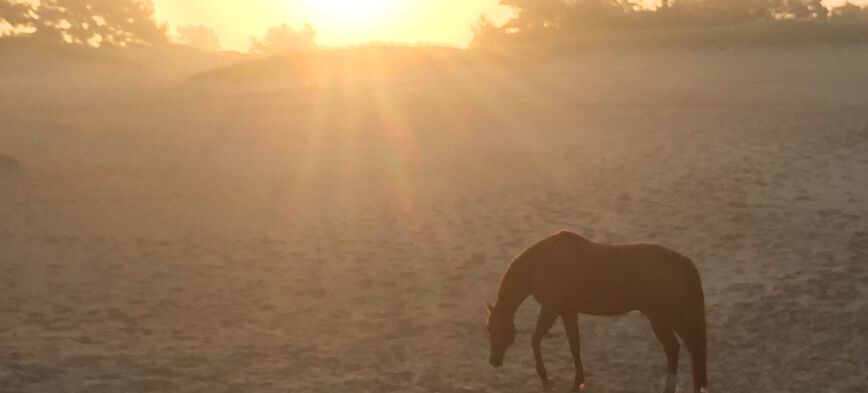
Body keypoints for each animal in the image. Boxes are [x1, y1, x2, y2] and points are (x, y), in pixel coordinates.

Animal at [484, 230, 708, 392]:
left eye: (491, 329)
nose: (493, 361)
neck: (540, 265)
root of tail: (683, 262)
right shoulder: (567, 311)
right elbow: (574, 344)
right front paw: (577, 382)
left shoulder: (551, 308)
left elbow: (535, 339)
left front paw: (546, 378)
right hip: (676, 318)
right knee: (693, 348)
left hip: (662, 319)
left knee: (674, 348)